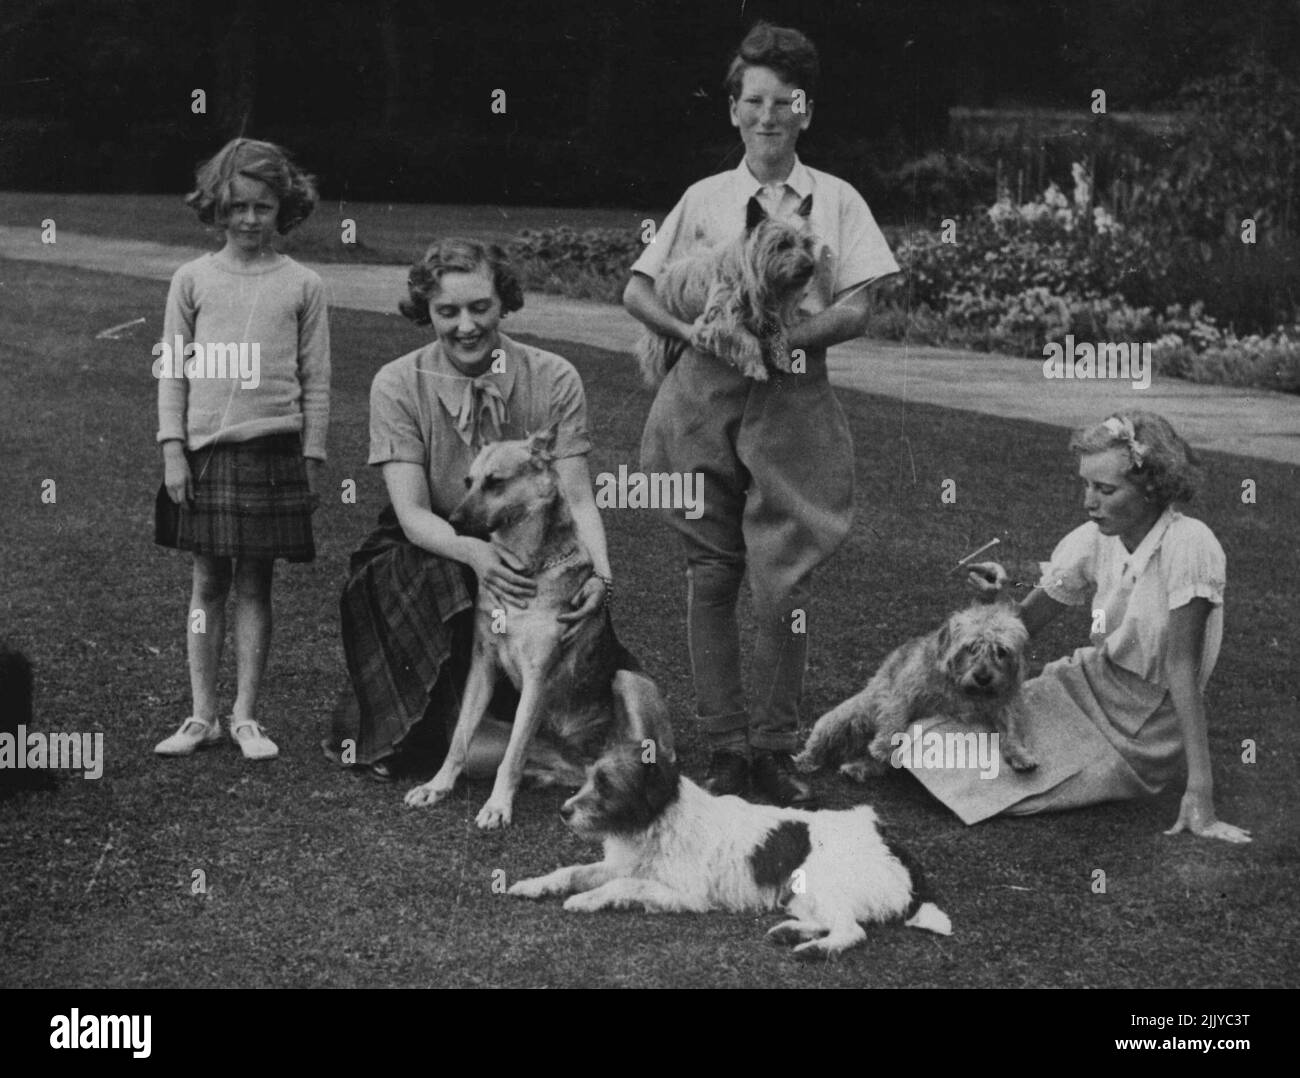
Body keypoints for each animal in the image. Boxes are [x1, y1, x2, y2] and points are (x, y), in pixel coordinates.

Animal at [403, 423, 670, 827]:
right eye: (468, 481)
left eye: (495, 482)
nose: (452, 523)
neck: (528, 567)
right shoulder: (483, 665)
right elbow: (460, 739)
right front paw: (437, 786)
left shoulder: (537, 676)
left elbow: (511, 757)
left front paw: (497, 806)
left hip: (629, 680)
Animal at [509, 738, 956, 957]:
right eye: (589, 779)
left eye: (605, 785)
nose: (564, 811)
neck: (656, 821)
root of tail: (887, 840)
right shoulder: (619, 865)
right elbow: (570, 872)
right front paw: (533, 885)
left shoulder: (685, 894)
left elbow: (621, 887)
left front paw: (585, 900)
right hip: (799, 894)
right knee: (831, 921)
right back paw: (791, 932)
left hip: (818, 883)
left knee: (852, 931)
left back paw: (813, 949)